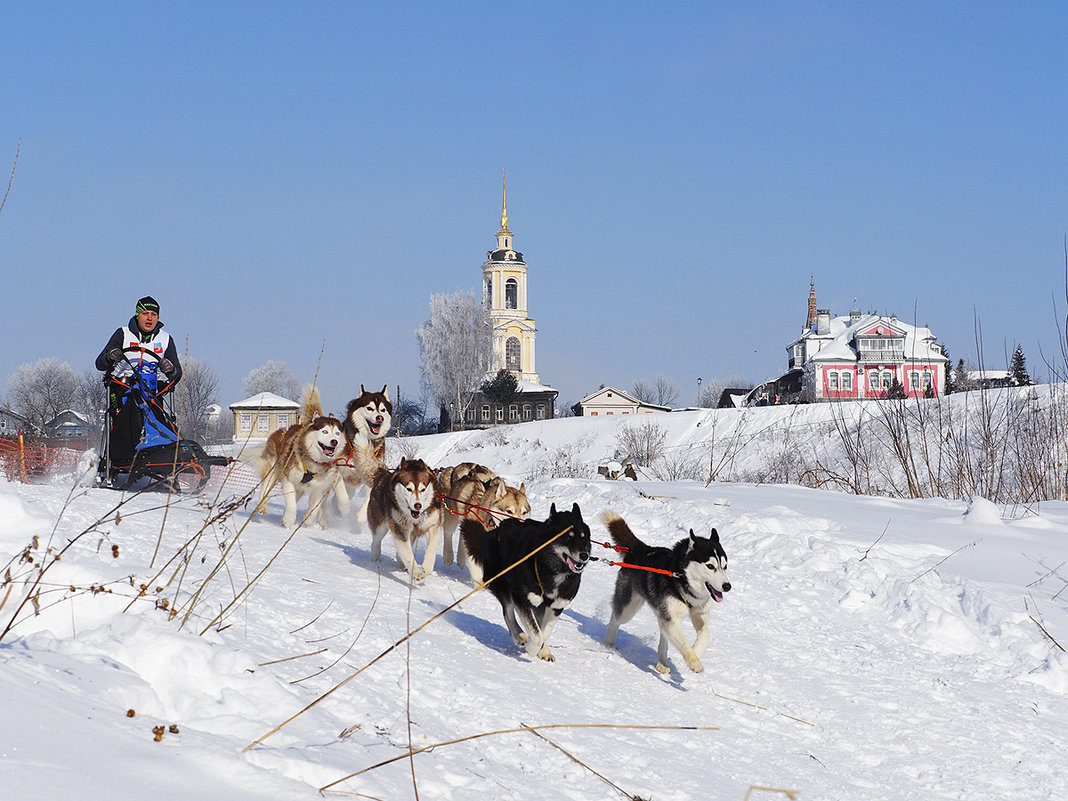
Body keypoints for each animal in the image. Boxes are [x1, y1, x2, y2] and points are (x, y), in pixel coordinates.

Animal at [247, 386, 343, 529]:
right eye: (325, 431)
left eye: (337, 433)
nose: (334, 442)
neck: (313, 461)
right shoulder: (288, 480)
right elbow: (291, 504)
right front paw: (288, 520)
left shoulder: (319, 488)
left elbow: (314, 509)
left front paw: (307, 521)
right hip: (273, 470)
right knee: (265, 487)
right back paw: (263, 506)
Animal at [333, 386, 393, 516]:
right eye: (369, 408)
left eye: (383, 410)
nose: (380, 418)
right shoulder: (337, 467)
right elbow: (342, 494)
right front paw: (344, 508)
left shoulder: (371, 471)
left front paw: (361, 515)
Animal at [358, 457, 442, 585]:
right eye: (409, 489)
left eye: (423, 489)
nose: (418, 505)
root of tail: (383, 476)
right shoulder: (399, 529)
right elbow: (408, 555)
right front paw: (416, 573)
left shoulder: (433, 525)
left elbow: (431, 548)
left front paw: (426, 568)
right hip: (381, 527)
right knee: (376, 542)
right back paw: (376, 560)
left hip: (411, 535)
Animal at [461, 501, 593, 666]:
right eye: (568, 537)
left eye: (584, 538)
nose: (584, 556)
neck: (552, 569)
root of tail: (495, 531)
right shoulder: (522, 599)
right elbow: (537, 634)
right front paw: (531, 648)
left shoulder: (556, 606)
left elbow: (544, 632)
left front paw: (542, 649)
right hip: (504, 587)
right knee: (508, 613)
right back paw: (519, 636)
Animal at [606, 510, 730, 674]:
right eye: (710, 566)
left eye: (725, 566)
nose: (727, 586)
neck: (682, 579)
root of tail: (641, 549)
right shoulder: (670, 620)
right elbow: (683, 642)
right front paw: (694, 661)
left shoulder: (698, 613)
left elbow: (705, 635)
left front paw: (696, 651)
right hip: (629, 609)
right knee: (615, 617)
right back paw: (609, 642)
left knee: (663, 638)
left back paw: (662, 664)